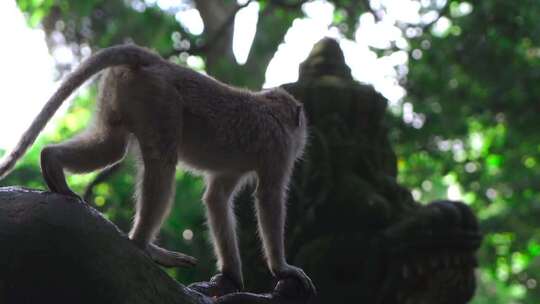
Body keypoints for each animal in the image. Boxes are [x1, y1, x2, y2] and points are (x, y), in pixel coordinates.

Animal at [0, 45, 314, 296]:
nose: (302, 143)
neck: (269, 107)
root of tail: (157, 62)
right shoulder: (279, 148)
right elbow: (269, 197)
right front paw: (283, 269)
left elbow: (216, 197)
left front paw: (231, 277)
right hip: (160, 100)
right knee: (162, 163)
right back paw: (142, 245)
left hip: (123, 93)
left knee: (112, 146)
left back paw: (51, 161)